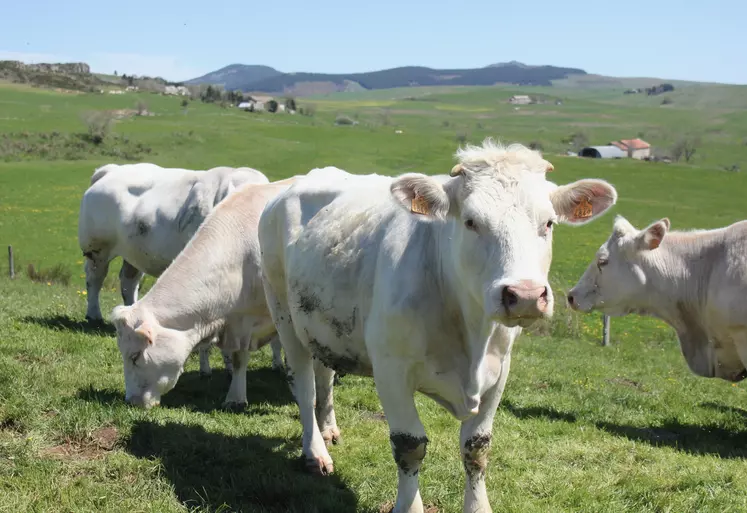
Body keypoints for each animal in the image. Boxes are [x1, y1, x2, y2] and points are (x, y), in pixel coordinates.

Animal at [78, 162, 284, 374]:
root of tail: (111, 169)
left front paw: (277, 362)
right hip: (97, 249)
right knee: (94, 279)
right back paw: (94, 315)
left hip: (132, 254)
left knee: (128, 281)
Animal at [258, 140, 620, 512]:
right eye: (471, 221)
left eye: (548, 223)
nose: (525, 296)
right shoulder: (391, 370)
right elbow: (409, 445)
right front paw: (409, 505)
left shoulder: (500, 370)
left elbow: (477, 446)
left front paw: (478, 505)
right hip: (284, 315)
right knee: (304, 387)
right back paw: (315, 452)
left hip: (323, 325)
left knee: (324, 374)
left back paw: (328, 428)